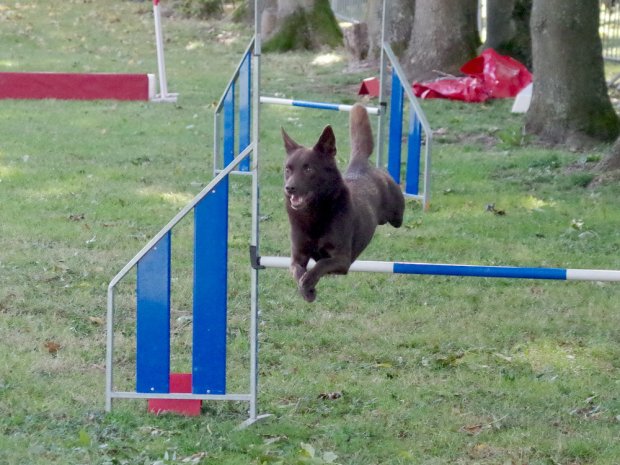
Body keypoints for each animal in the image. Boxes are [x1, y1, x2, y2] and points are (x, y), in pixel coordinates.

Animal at [282, 103, 406, 302]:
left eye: (308, 169)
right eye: (288, 169)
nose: (289, 188)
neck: (315, 213)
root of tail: (359, 165)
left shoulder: (342, 259)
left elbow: (319, 265)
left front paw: (308, 286)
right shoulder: (297, 257)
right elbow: (298, 271)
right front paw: (306, 289)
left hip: (396, 215)